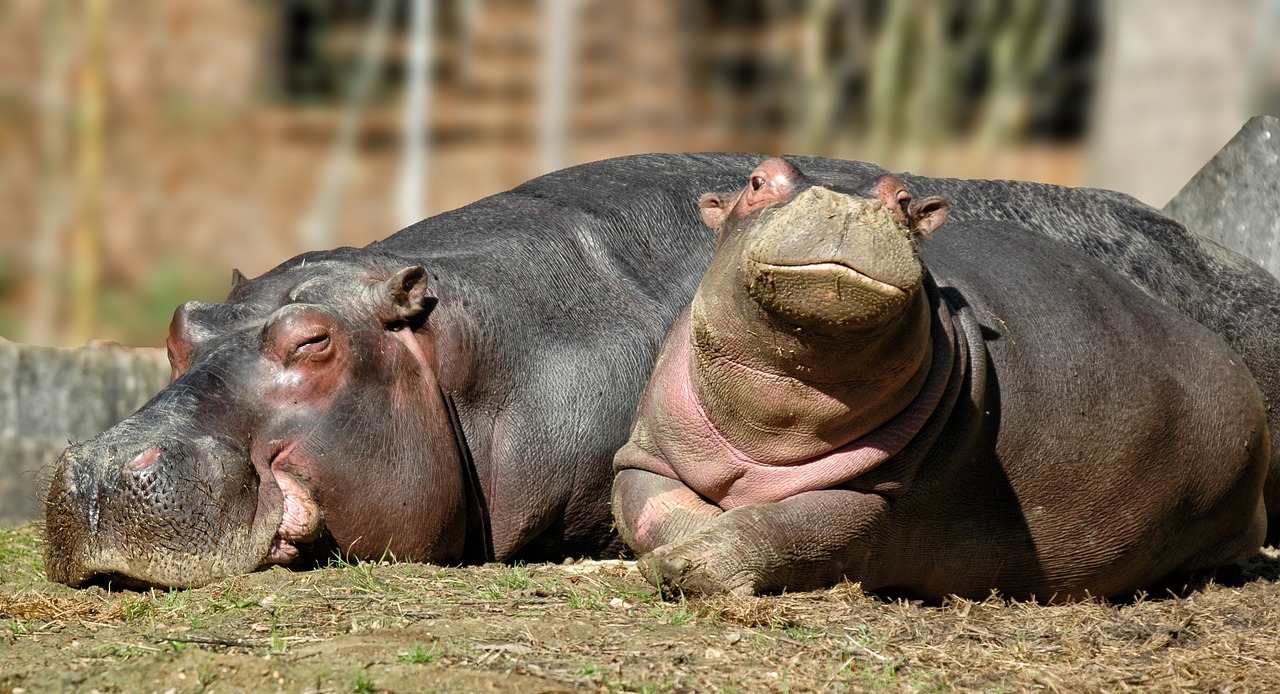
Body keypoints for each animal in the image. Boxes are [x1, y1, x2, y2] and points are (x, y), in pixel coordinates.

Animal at [614, 159, 1274, 604]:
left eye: (903, 198)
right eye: (757, 181)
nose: (847, 203)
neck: (784, 399)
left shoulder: (879, 493)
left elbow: (787, 526)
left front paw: (691, 565)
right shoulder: (646, 456)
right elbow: (655, 509)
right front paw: (679, 554)